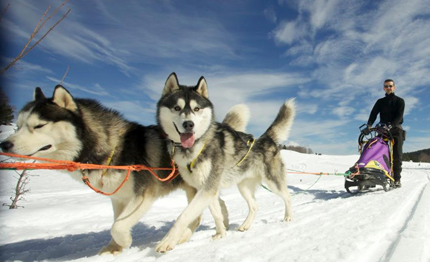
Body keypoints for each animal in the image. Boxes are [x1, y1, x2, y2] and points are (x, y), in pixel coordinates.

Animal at [0, 85, 249, 254]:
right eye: (19, 125)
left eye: (39, 125)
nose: (5, 144)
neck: (112, 146)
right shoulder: (118, 196)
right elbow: (115, 221)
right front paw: (114, 249)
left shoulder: (144, 194)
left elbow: (117, 226)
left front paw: (125, 242)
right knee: (215, 204)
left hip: (193, 187)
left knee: (196, 216)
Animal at [157, 72, 296, 253]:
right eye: (176, 108)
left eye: (196, 109)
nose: (189, 124)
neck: (196, 146)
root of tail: (265, 138)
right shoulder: (206, 188)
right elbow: (216, 213)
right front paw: (221, 233)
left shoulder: (208, 187)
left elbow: (184, 215)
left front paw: (167, 240)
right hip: (243, 186)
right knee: (254, 206)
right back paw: (245, 225)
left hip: (273, 182)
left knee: (287, 196)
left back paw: (288, 216)